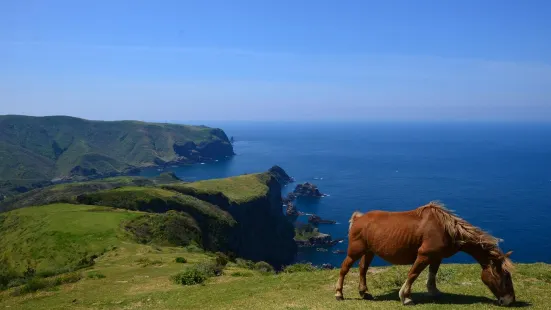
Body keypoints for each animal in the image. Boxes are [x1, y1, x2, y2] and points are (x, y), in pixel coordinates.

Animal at [336, 202, 516, 306]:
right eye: (506, 278)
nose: (510, 301)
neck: (448, 230)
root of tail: (359, 218)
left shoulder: (436, 257)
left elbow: (432, 274)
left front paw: (434, 291)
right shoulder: (424, 255)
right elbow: (413, 274)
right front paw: (406, 297)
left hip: (369, 251)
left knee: (363, 269)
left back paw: (364, 292)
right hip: (355, 251)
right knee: (345, 268)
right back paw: (339, 293)